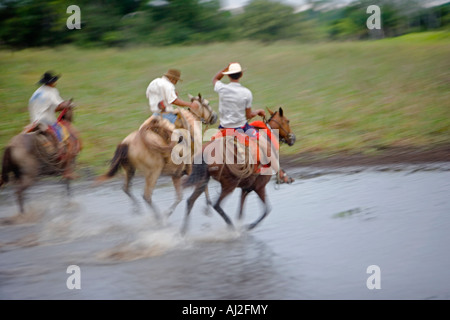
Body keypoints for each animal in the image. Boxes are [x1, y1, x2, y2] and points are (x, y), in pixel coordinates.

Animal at [181, 106, 298, 234]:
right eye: (287, 121)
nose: (293, 138)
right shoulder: (259, 187)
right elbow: (266, 210)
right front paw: (250, 226)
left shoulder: (245, 189)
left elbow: (240, 213)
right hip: (229, 184)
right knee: (216, 205)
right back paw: (231, 228)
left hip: (203, 181)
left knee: (190, 201)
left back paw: (183, 232)